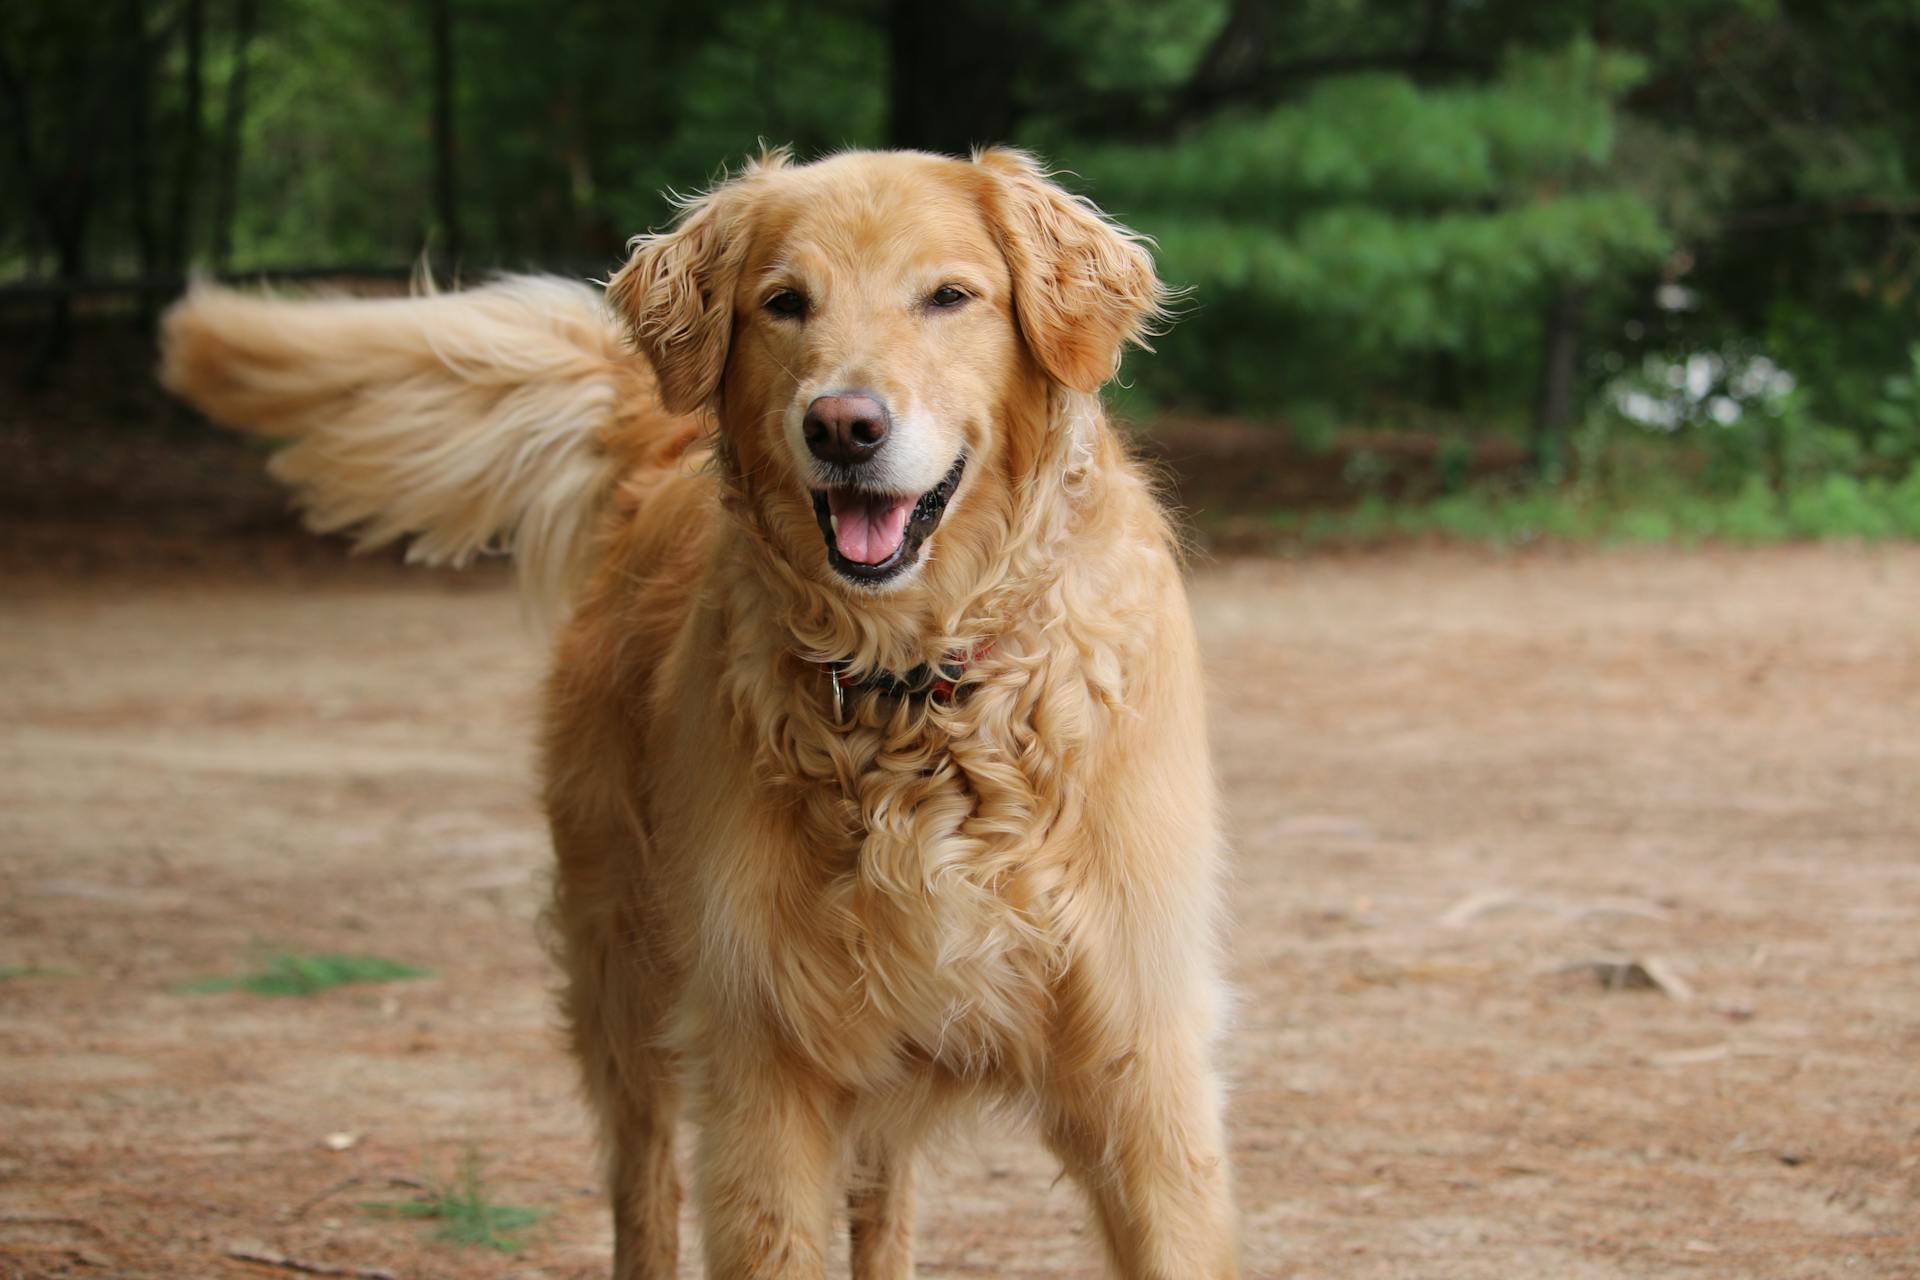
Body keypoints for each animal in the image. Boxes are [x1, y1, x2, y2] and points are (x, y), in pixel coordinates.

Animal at [168, 144, 1244, 1274]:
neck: (916, 684)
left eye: (950, 296)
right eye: (785, 302)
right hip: (623, 968)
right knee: (642, 1182)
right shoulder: (765, 1060)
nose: (843, 426)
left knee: (884, 1195)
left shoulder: (1141, 1068)